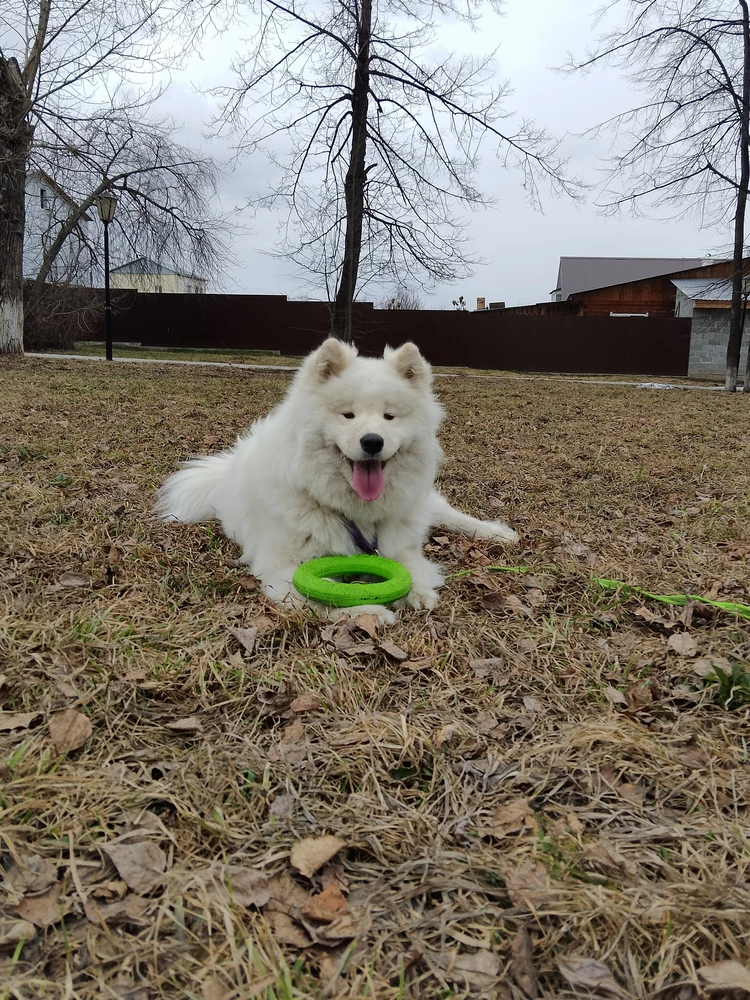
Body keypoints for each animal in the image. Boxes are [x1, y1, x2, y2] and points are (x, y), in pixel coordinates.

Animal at [158, 338, 520, 616]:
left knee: (450, 515)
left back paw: (498, 534)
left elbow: (411, 564)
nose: (372, 441)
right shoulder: (280, 566)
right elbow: (326, 596)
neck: (353, 510)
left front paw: (419, 592)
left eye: (389, 416)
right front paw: (371, 612)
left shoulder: (396, 544)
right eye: (348, 415)